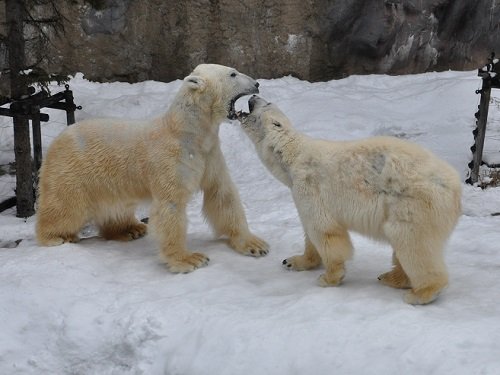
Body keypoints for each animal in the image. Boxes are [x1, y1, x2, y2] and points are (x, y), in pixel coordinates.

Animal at [36, 64, 270, 274]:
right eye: (233, 74)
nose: (257, 83)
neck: (189, 134)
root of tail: (58, 138)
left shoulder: (210, 155)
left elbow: (222, 194)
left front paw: (255, 245)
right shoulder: (171, 161)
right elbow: (170, 207)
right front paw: (189, 259)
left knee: (114, 206)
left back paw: (131, 229)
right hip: (72, 169)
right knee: (65, 205)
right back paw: (57, 236)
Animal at [238, 95, 460, 304]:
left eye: (267, 103)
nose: (253, 95)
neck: (292, 156)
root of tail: (456, 188)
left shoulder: (311, 187)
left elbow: (324, 230)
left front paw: (328, 278)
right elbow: (309, 230)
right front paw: (294, 261)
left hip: (413, 204)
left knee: (412, 242)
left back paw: (420, 293)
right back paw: (390, 277)